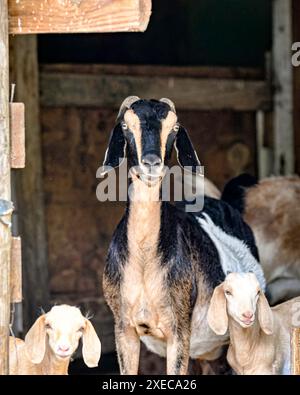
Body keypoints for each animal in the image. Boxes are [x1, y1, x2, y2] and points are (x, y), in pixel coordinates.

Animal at [101, 96, 264, 374]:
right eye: (125, 125)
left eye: (175, 128)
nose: (151, 163)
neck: (144, 260)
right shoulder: (123, 327)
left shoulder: (178, 328)